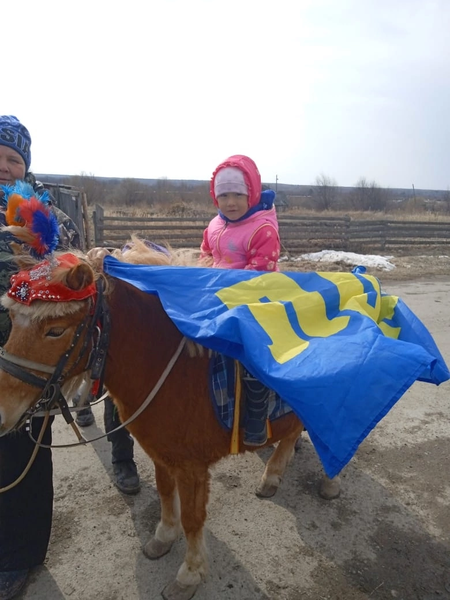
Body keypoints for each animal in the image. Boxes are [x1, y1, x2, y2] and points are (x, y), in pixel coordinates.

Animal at [0, 241, 340, 600]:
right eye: (12, 319)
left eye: (55, 331)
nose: (3, 413)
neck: (172, 369)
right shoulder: (160, 453)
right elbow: (165, 493)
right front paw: (163, 537)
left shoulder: (192, 466)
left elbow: (193, 518)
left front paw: (189, 574)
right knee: (293, 434)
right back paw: (272, 477)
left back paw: (330, 483)